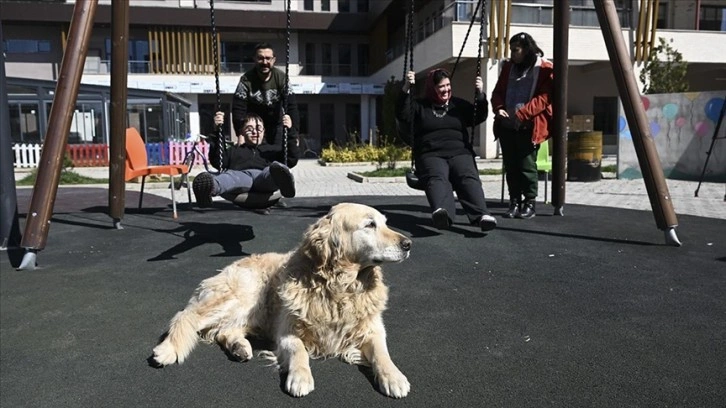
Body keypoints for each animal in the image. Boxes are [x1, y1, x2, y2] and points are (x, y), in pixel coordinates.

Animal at [152, 202, 416, 396]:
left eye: (385, 222)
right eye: (370, 224)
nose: (408, 244)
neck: (339, 289)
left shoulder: (373, 329)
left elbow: (382, 353)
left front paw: (394, 377)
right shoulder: (287, 331)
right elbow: (299, 351)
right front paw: (300, 377)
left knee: (225, 331)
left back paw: (240, 347)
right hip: (243, 296)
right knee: (186, 316)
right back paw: (168, 349)